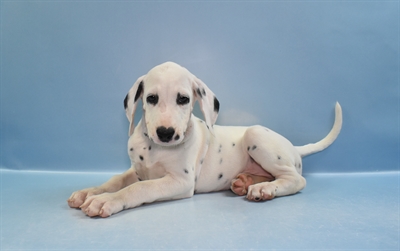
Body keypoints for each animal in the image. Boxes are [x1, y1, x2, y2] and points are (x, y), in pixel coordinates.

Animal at [67, 61, 342, 218]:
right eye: (151, 98)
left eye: (183, 99)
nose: (166, 133)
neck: (154, 147)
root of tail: (294, 147)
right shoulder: (137, 170)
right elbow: (115, 181)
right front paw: (89, 192)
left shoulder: (180, 181)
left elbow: (138, 189)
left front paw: (106, 201)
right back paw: (245, 182)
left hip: (256, 135)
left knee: (296, 179)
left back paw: (265, 189)